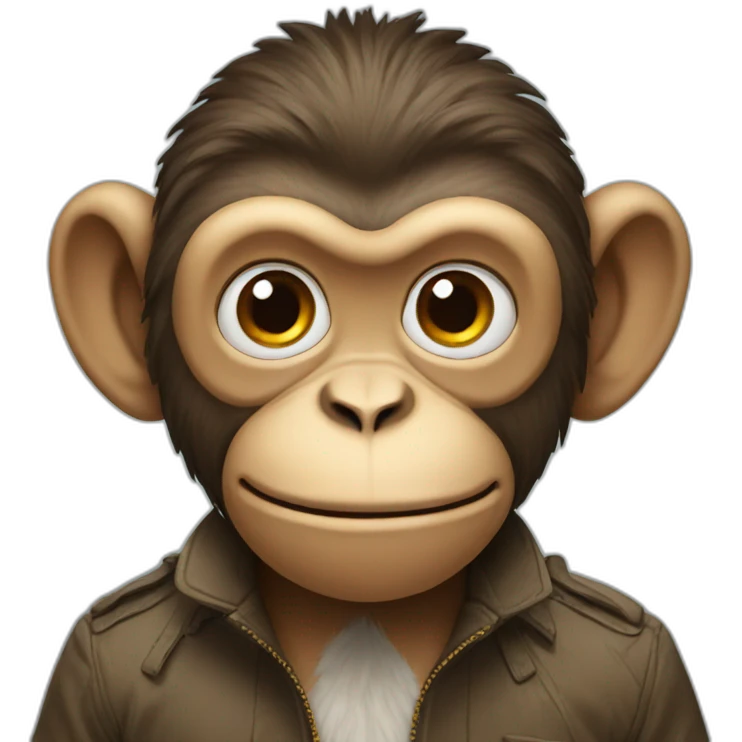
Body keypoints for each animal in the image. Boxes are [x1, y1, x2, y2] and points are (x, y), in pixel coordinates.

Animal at [31, 8, 709, 742]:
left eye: (455, 306)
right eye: (270, 306)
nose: (367, 405)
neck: (365, 620)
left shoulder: (653, 660)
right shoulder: (87, 656)